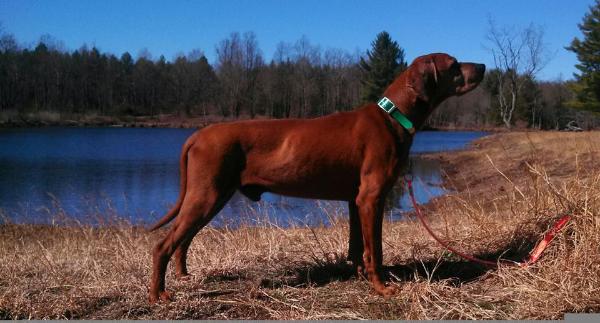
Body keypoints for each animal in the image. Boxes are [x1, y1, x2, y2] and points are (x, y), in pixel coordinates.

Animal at [149, 52, 482, 302]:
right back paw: (158, 295)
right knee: (163, 245)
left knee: (183, 240)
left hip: (211, 198)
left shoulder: (355, 201)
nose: (483, 66)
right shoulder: (372, 198)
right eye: (454, 65)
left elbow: (357, 247)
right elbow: (376, 249)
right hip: (206, 196)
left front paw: (360, 276)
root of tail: (199, 133)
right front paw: (381, 287)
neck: (392, 116)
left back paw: (183, 276)